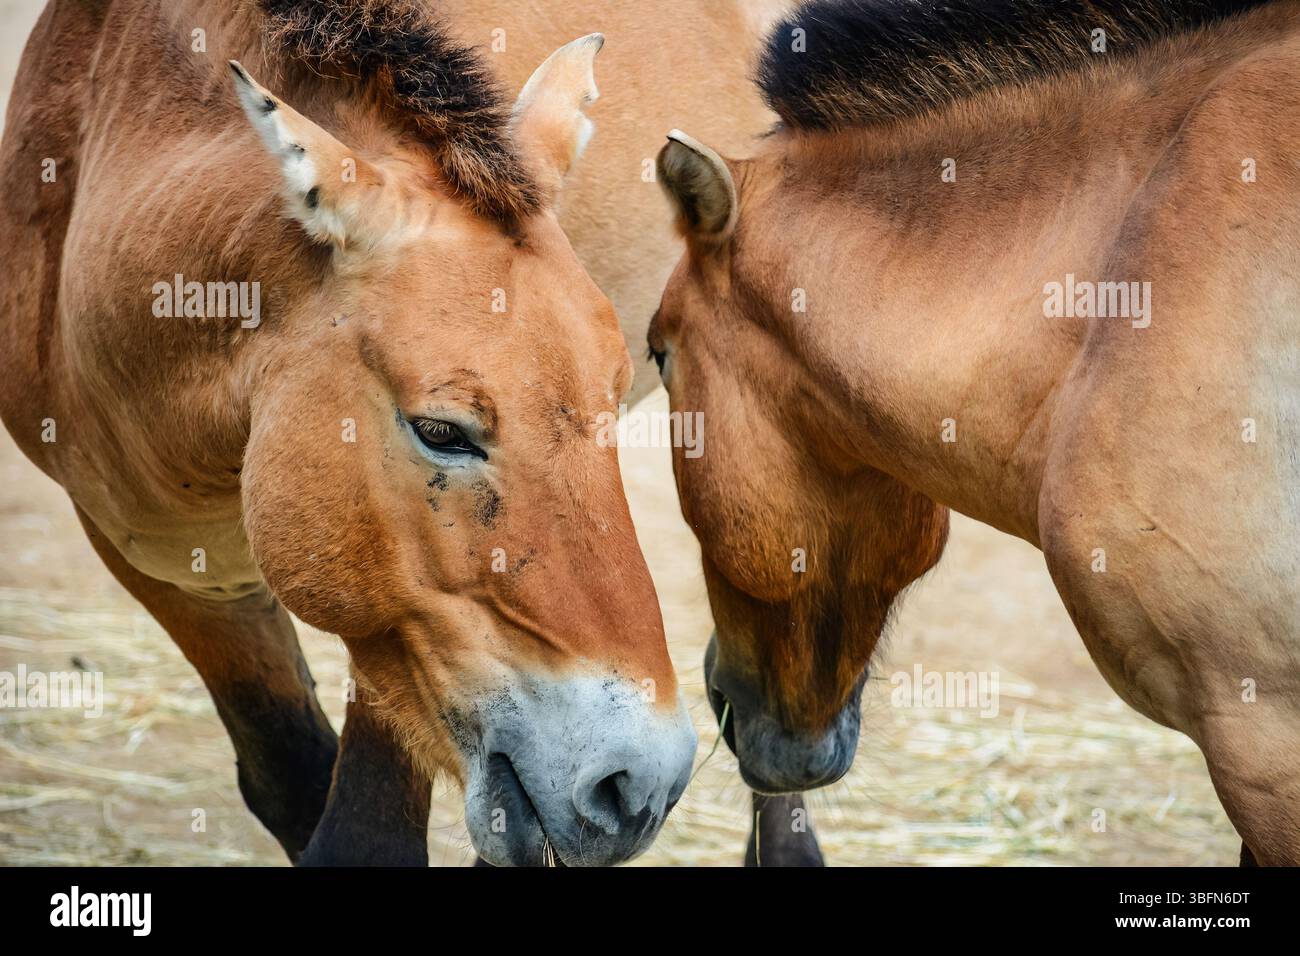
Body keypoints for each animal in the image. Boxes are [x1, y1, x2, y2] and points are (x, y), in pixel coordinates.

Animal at [0, 0, 699, 867]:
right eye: (441, 430)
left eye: (613, 388)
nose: (641, 782)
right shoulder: (176, 575)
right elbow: (289, 779)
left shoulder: (390, 629)